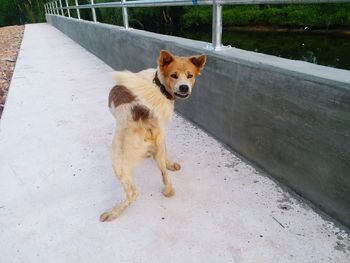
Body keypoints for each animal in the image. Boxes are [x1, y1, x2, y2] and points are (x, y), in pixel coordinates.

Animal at [100, 50, 206, 223]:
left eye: (190, 75)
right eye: (174, 75)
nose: (184, 87)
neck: (158, 85)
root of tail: (141, 112)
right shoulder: (162, 133)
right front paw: (170, 164)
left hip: (118, 161)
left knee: (132, 193)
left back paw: (113, 212)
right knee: (164, 174)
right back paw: (168, 190)